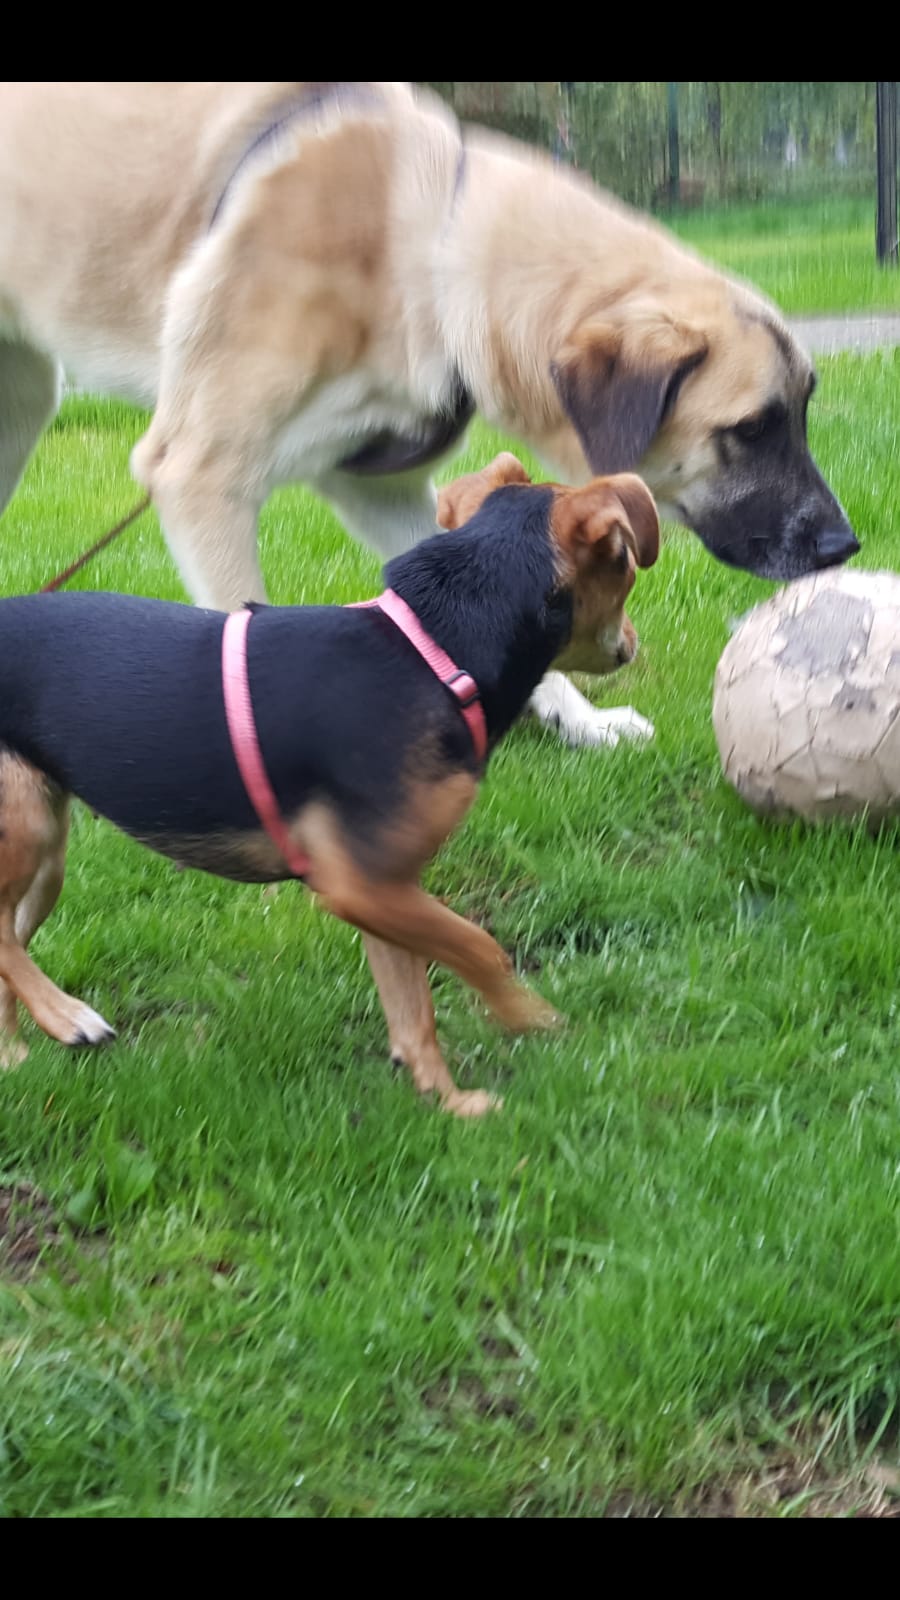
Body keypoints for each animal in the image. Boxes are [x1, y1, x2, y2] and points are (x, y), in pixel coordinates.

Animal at [0, 82, 857, 753]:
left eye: (801, 412)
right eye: (752, 428)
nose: (844, 546)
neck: (426, 243)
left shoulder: (375, 486)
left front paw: (579, 720)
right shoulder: (200, 475)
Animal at [0, 454, 659, 1116]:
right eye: (628, 568)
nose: (634, 643)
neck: (436, 652)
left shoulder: (387, 888)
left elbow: (412, 1012)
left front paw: (452, 1105)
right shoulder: (359, 885)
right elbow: (481, 948)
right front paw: (531, 1019)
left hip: (46, 860)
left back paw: (13, 1056)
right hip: (24, 831)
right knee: (1, 940)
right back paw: (67, 1017)